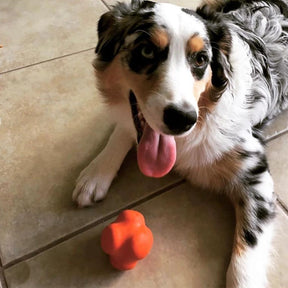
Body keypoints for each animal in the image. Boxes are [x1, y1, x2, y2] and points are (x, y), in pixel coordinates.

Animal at [72, 1, 288, 286]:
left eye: (200, 59)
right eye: (146, 50)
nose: (182, 118)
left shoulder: (255, 172)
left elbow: (244, 260)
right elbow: (122, 130)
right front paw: (96, 172)